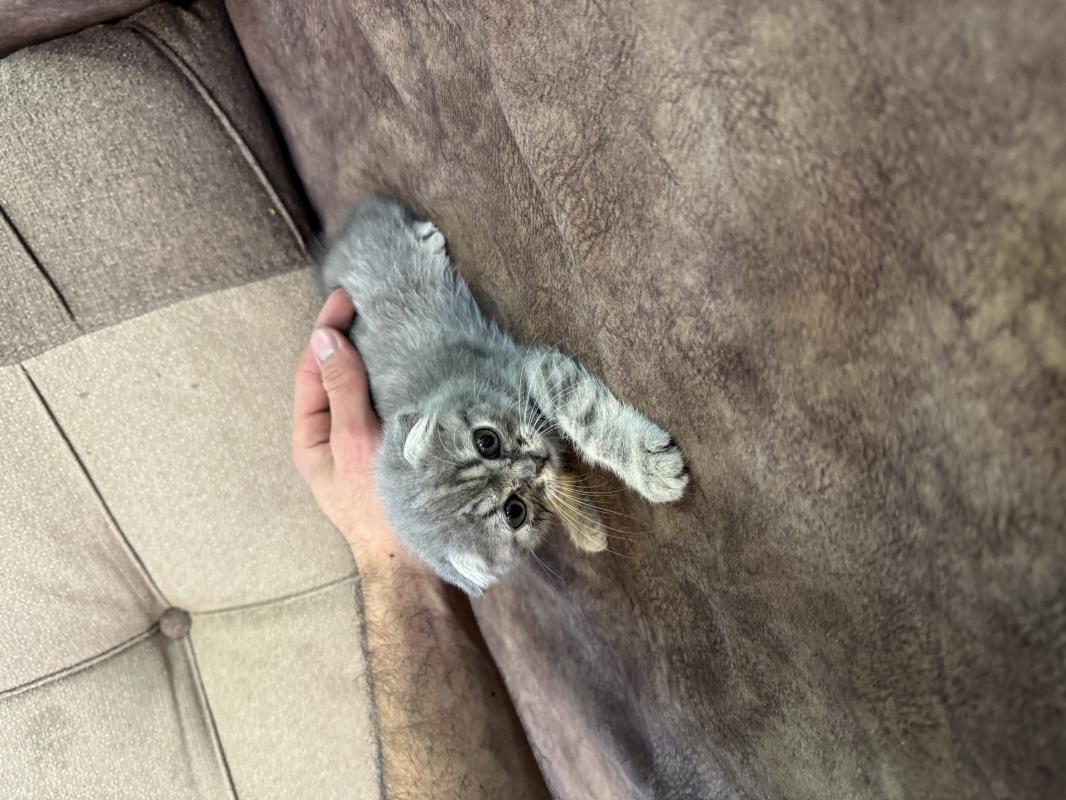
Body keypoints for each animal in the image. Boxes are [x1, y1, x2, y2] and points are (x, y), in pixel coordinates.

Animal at [319, 197, 688, 595]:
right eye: (515, 512)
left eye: (486, 441)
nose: (536, 462)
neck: (448, 388)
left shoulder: (530, 368)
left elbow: (584, 414)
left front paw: (650, 467)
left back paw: (427, 238)